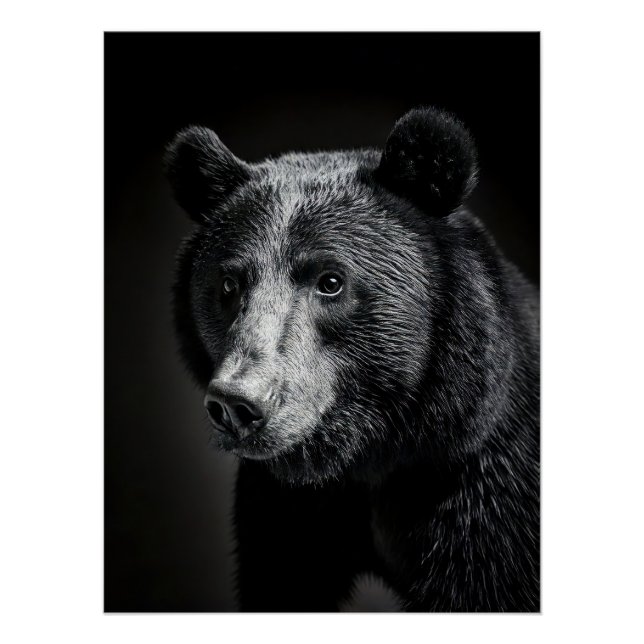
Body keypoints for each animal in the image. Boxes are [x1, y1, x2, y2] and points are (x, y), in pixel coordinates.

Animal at [165, 107, 540, 612]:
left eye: (331, 281)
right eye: (228, 284)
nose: (237, 404)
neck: (375, 455)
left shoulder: (484, 496)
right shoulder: (285, 503)